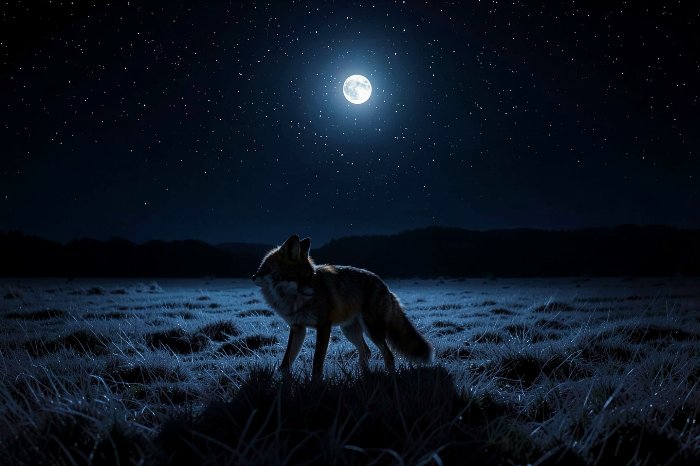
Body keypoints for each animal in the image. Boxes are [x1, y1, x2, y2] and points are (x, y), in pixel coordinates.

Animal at [252, 234, 434, 378]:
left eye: (312, 276)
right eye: (303, 276)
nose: (320, 291)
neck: (290, 301)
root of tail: (386, 286)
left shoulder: (324, 326)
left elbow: (317, 364)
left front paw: (315, 387)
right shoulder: (298, 328)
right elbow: (285, 363)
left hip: (372, 331)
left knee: (389, 356)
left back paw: (391, 379)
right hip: (349, 331)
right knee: (366, 352)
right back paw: (364, 378)